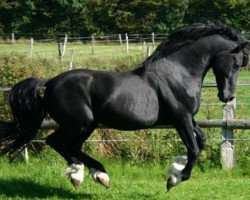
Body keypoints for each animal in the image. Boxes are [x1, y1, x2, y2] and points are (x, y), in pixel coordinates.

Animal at [0, 19, 249, 191]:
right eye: (237, 63)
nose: (227, 97)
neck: (178, 74)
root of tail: (49, 82)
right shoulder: (182, 118)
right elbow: (195, 149)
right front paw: (174, 179)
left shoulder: (187, 119)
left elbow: (202, 141)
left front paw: (175, 168)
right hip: (79, 123)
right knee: (56, 142)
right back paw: (79, 174)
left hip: (88, 125)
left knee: (71, 146)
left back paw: (98, 175)